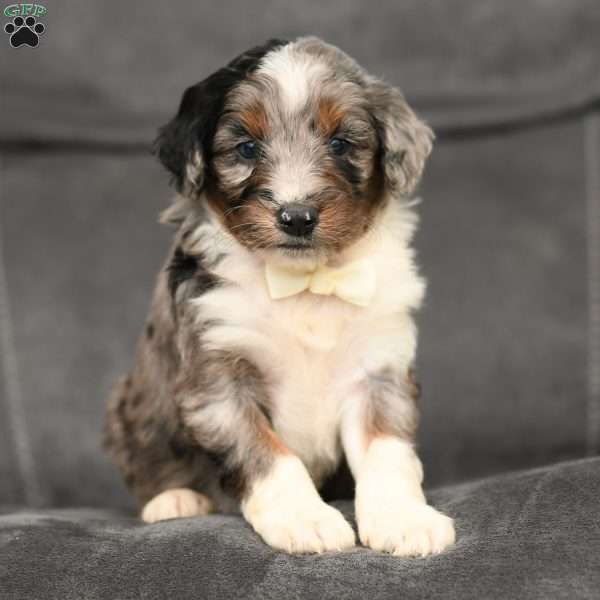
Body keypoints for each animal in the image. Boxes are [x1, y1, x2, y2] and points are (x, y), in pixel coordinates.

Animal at [105, 36, 458, 552]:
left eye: (340, 143)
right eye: (247, 148)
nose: (296, 217)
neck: (305, 282)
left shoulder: (378, 370)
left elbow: (387, 452)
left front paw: (404, 519)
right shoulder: (218, 380)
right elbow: (270, 455)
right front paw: (305, 518)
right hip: (132, 409)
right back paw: (174, 500)